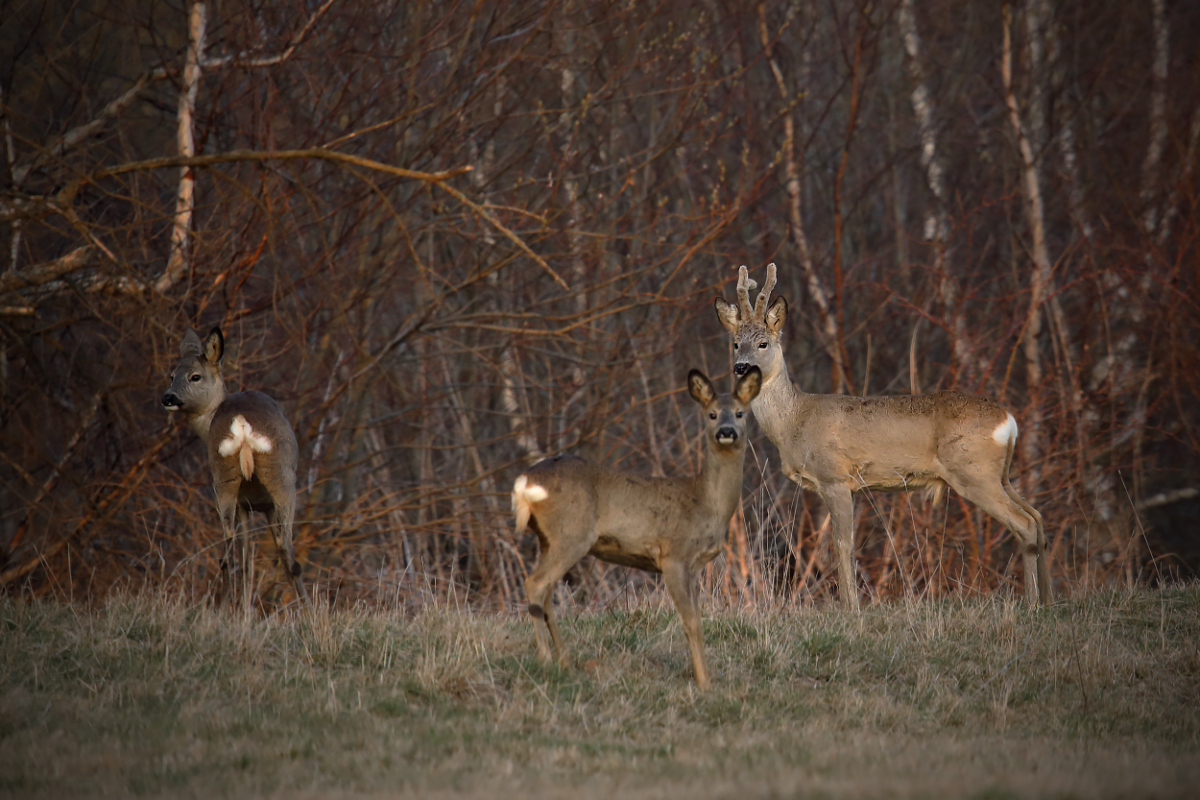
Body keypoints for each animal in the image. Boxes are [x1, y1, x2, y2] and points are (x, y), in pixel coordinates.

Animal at [164, 328, 314, 609]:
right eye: (171, 375)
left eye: (194, 376)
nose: (168, 396)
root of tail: (242, 424)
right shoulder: (257, 505)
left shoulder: (246, 504)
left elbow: (245, 559)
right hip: (279, 479)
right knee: (282, 550)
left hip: (226, 478)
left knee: (231, 547)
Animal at [508, 369, 758, 690]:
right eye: (712, 414)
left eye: (740, 413)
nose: (726, 431)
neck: (705, 501)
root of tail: (525, 482)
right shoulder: (674, 556)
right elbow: (691, 622)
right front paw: (704, 684)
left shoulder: (693, 567)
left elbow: (698, 620)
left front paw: (704, 676)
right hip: (571, 534)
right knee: (535, 584)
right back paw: (546, 661)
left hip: (548, 539)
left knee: (546, 592)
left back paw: (566, 663)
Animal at [710, 262, 1051, 606]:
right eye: (736, 344)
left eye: (763, 343)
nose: (741, 367)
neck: (794, 420)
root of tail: (1008, 420)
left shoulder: (835, 477)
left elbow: (842, 545)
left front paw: (850, 607)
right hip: (999, 474)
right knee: (1036, 517)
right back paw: (1046, 600)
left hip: (974, 472)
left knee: (1024, 523)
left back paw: (1033, 602)